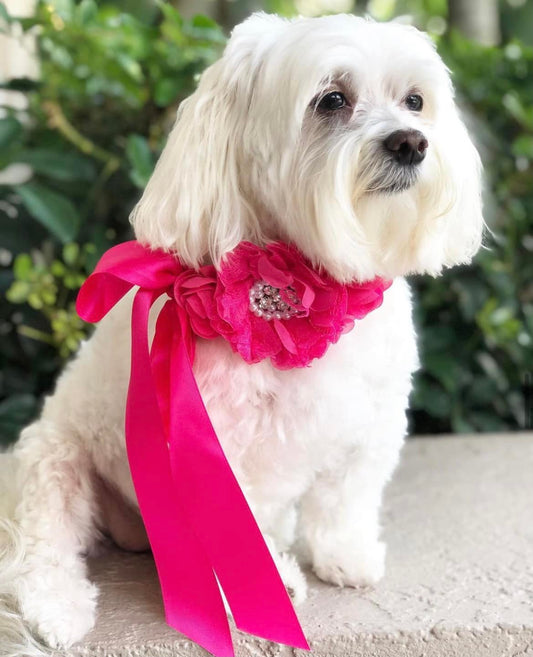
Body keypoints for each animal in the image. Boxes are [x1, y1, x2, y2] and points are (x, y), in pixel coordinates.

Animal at [0, 12, 482, 652]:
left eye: (415, 101)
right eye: (331, 99)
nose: (411, 141)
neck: (316, 278)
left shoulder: (372, 422)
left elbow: (345, 498)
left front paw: (343, 555)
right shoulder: (210, 444)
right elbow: (237, 526)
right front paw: (264, 584)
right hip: (53, 458)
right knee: (39, 545)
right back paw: (58, 607)